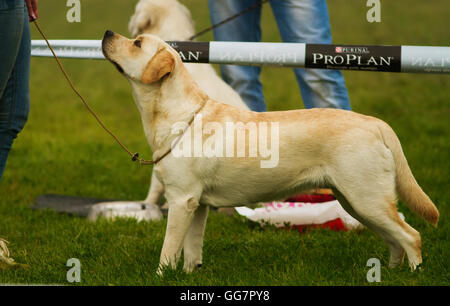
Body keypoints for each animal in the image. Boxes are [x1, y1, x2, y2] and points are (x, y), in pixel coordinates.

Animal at [101, 32, 436, 274]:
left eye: (137, 43)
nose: (106, 33)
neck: (180, 116)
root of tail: (376, 123)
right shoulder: (197, 204)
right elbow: (192, 249)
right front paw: (189, 274)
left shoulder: (181, 200)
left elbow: (169, 248)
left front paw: (160, 276)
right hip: (356, 202)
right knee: (395, 240)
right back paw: (391, 273)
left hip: (366, 199)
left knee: (411, 236)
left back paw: (413, 273)